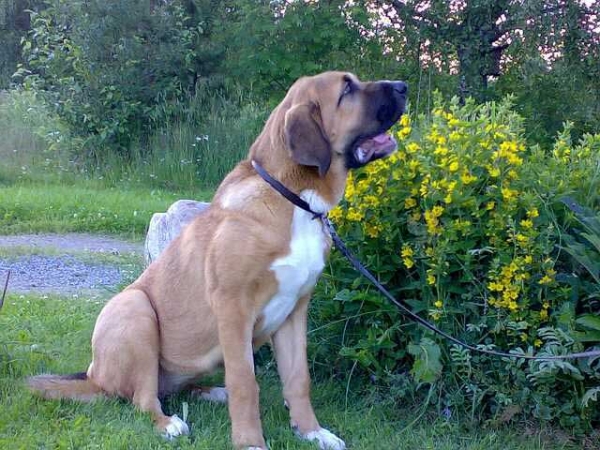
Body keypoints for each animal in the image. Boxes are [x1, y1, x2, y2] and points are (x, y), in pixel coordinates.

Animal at [28, 72, 408, 448]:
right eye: (347, 89)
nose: (403, 86)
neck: (292, 198)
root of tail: (94, 377)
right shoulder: (233, 307)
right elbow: (245, 383)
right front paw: (250, 441)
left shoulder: (295, 310)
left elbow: (299, 379)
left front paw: (312, 431)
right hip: (135, 308)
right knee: (143, 398)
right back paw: (168, 423)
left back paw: (212, 392)